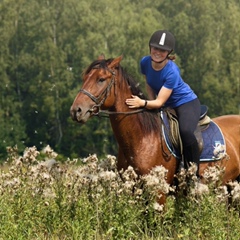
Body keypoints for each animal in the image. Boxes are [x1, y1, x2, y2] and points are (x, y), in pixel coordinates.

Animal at [69, 55, 240, 204]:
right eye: (85, 78)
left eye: (101, 79)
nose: (76, 111)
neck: (142, 137)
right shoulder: (134, 190)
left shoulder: (159, 193)